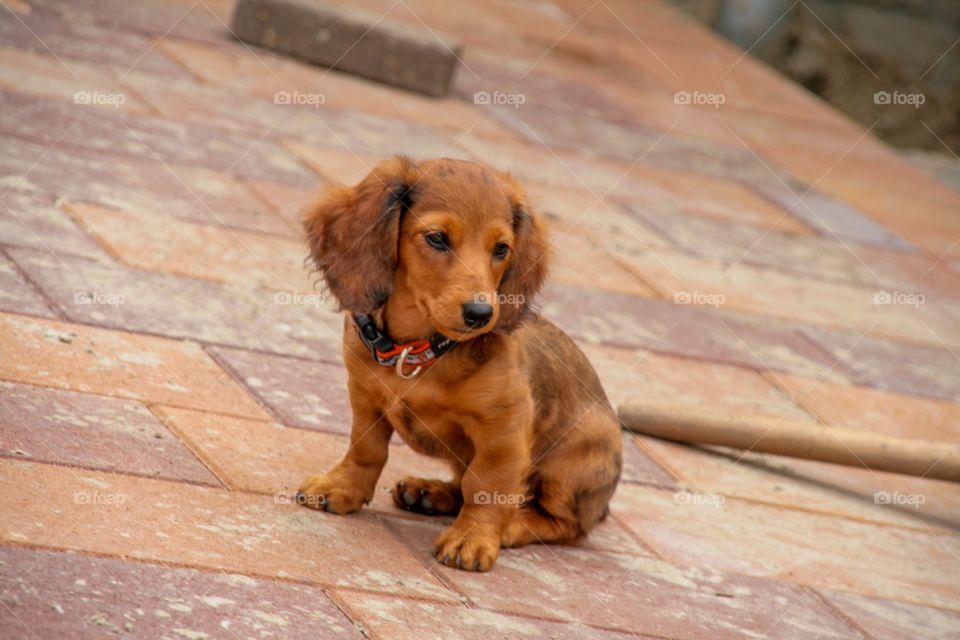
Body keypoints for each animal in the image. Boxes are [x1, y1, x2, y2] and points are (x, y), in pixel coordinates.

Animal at [296, 158, 624, 572]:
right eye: (437, 238)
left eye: (501, 249)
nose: (481, 313)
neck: (419, 351)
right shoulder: (364, 397)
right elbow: (366, 449)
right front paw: (341, 487)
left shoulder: (504, 432)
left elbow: (487, 486)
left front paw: (473, 537)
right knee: (462, 485)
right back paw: (429, 492)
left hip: (572, 464)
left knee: (565, 524)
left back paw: (512, 524)